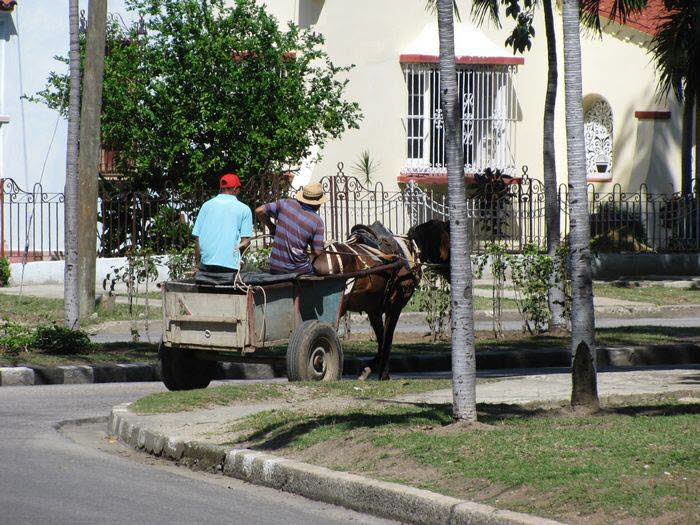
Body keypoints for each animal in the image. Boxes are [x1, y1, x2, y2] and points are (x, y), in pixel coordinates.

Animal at [314, 223, 422, 378]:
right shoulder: (395, 306)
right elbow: (387, 340)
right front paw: (381, 374)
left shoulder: (373, 310)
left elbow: (381, 339)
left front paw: (374, 370)